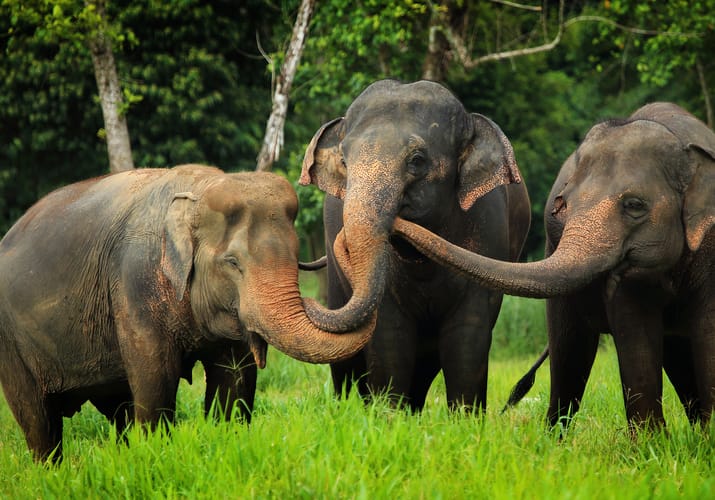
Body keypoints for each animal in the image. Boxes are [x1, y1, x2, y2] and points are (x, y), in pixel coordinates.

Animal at [0, 164, 376, 462]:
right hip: (11, 344)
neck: (198, 189)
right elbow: (155, 379)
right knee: (39, 420)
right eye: (233, 263)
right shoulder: (134, 283)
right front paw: (156, 458)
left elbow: (235, 380)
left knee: (116, 408)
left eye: (297, 256)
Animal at [299, 79, 531, 411]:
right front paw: (386, 415)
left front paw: (466, 419)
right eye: (344, 162)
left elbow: (468, 335)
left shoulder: (489, 232)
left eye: (417, 160)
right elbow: (389, 335)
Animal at [393, 102, 715, 430]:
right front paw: (652, 443)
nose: (397, 218)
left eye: (635, 205)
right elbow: (636, 336)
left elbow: (706, 332)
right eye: (562, 205)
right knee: (570, 352)